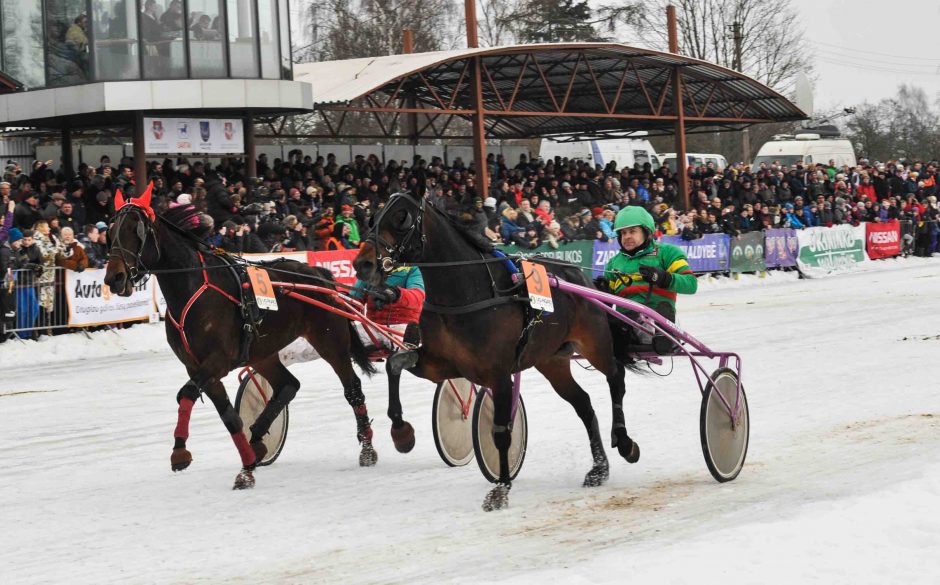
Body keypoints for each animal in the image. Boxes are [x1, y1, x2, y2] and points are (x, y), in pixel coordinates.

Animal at [104, 184, 376, 488]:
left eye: (136, 228)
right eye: (111, 229)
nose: (114, 278)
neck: (193, 288)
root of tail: (319, 275)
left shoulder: (218, 360)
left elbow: (186, 393)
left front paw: (180, 451)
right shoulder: (197, 366)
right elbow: (229, 417)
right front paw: (246, 467)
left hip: (330, 341)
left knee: (352, 388)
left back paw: (367, 448)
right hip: (263, 352)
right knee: (288, 385)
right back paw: (257, 438)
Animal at [356, 193, 644, 512]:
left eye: (402, 217)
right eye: (372, 216)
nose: (362, 263)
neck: (467, 294)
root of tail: (581, 278)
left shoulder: (499, 373)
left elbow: (501, 431)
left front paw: (501, 488)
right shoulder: (442, 364)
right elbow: (394, 364)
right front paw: (402, 433)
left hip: (595, 343)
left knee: (616, 378)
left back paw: (625, 442)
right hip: (552, 361)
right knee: (583, 403)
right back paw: (599, 468)